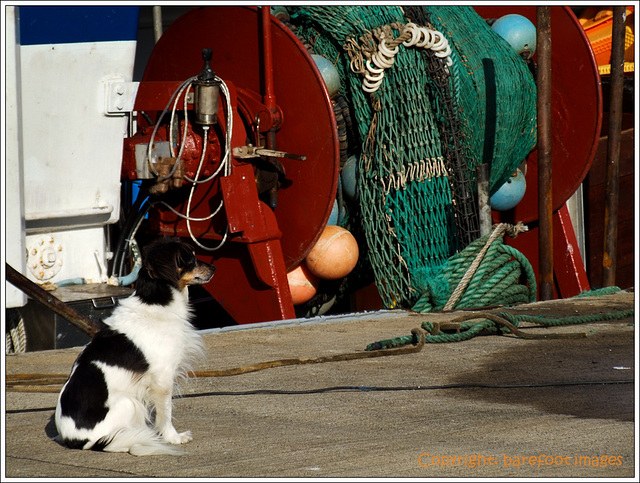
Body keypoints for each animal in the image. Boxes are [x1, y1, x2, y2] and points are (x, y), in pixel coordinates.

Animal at [56, 239, 215, 458]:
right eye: (190, 259)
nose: (214, 268)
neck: (155, 300)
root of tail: (77, 441)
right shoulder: (163, 379)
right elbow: (165, 413)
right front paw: (173, 438)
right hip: (129, 402)